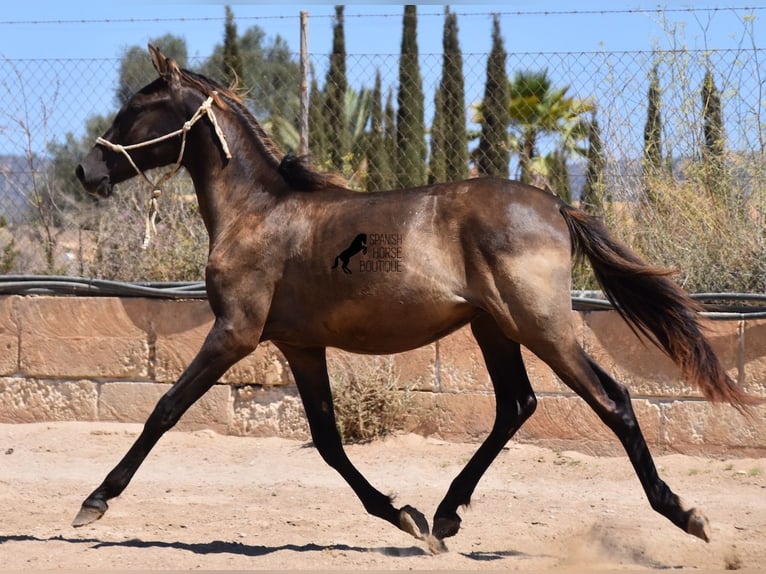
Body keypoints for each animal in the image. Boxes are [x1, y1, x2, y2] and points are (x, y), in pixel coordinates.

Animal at [72, 45, 756, 552]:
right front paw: (404, 516)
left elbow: (165, 409)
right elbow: (327, 440)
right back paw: (447, 514)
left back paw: (684, 515)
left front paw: (93, 502)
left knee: (611, 399)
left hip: (541, 327)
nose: (88, 172)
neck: (258, 213)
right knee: (517, 405)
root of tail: (555, 204)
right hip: (493, 328)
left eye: (134, 108)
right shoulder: (299, 345)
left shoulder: (234, 333)